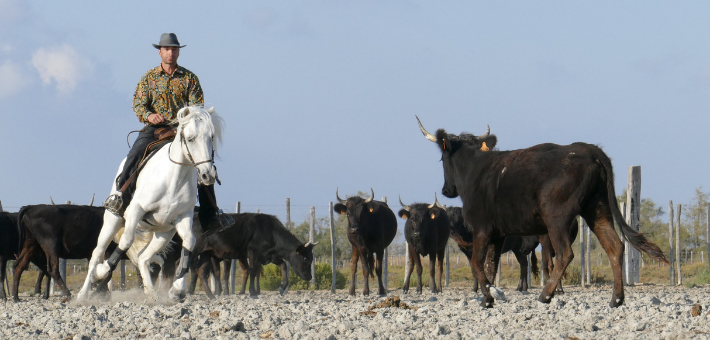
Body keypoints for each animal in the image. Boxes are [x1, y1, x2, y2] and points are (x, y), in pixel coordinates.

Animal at [78, 107, 224, 302]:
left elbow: (189, 242)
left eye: (211, 137)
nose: (208, 175)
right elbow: (126, 241)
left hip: (163, 233)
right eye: (190, 138)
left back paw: (152, 294)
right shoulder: (136, 211)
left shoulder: (183, 217)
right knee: (97, 254)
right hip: (113, 221)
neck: (174, 179)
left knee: (143, 258)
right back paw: (83, 293)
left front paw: (177, 290)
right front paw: (101, 273)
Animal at [418, 117, 668, 308]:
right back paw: (616, 298)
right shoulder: (498, 234)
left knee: (564, 254)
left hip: (556, 218)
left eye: (442, 159)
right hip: (597, 209)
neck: (477, 170)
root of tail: (587, 148)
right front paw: (489, 294)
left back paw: (546, 294)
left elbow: (477, 263)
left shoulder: (482, 228)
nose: (446, 190)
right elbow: (491, 265)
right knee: (614, 246)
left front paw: (487, 298)